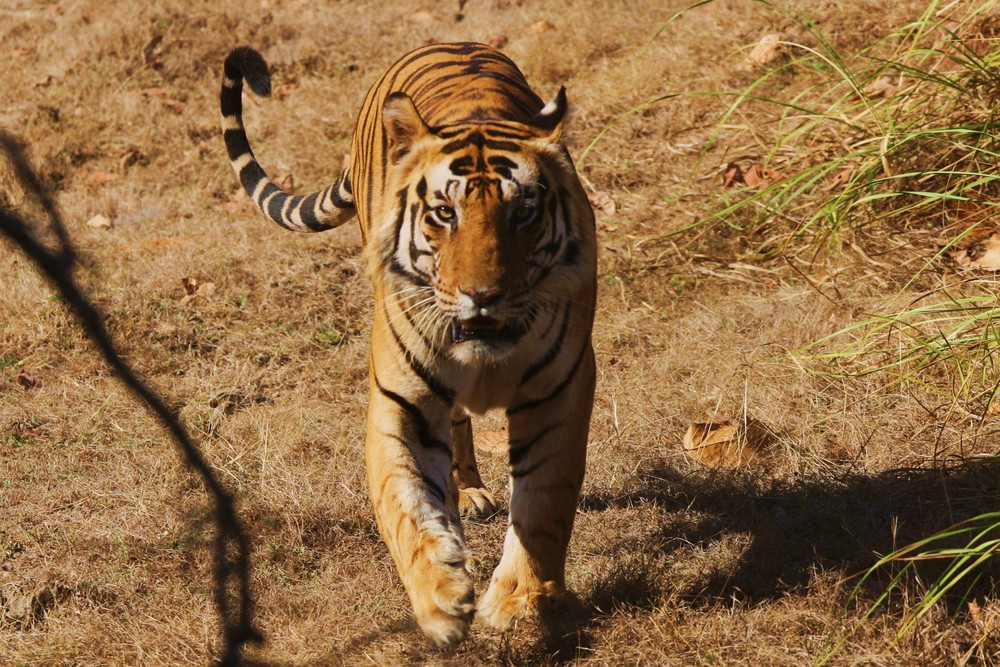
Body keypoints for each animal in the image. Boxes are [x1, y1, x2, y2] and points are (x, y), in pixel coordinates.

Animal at [219, 43, 592, 648]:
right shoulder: (401, 403)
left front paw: (519, 600)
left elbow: (544, 503)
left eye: (524, 213)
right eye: (445, 213)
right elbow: (405, 506)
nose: (482, 296)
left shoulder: (560, 393)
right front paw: (441, 597)